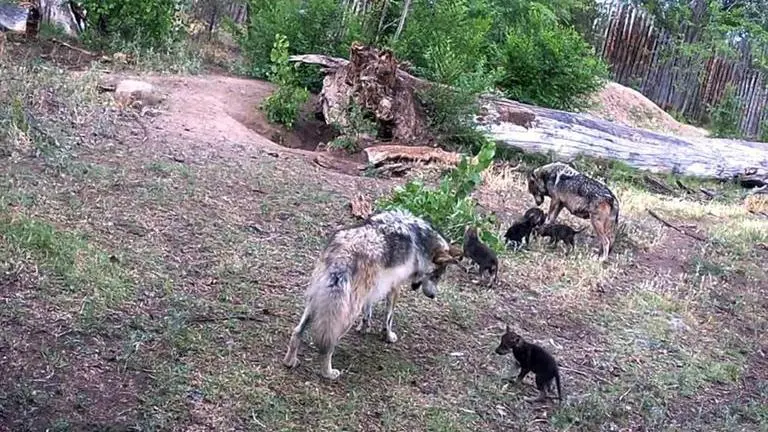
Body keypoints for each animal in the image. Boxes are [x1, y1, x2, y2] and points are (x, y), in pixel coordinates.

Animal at [282, 209, 463, 380]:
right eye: (436, 276)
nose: (433, 296)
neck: (421, 241)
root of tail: (345, 254)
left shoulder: (372, 289)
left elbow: (368, 311)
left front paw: (364, 328)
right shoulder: (394, 288)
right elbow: (388, 318)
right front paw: (388, 336)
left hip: (316, 302)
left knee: (297, 332)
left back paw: (290, 362)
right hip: (344, 314)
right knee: (329, 344)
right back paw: (328, 373)